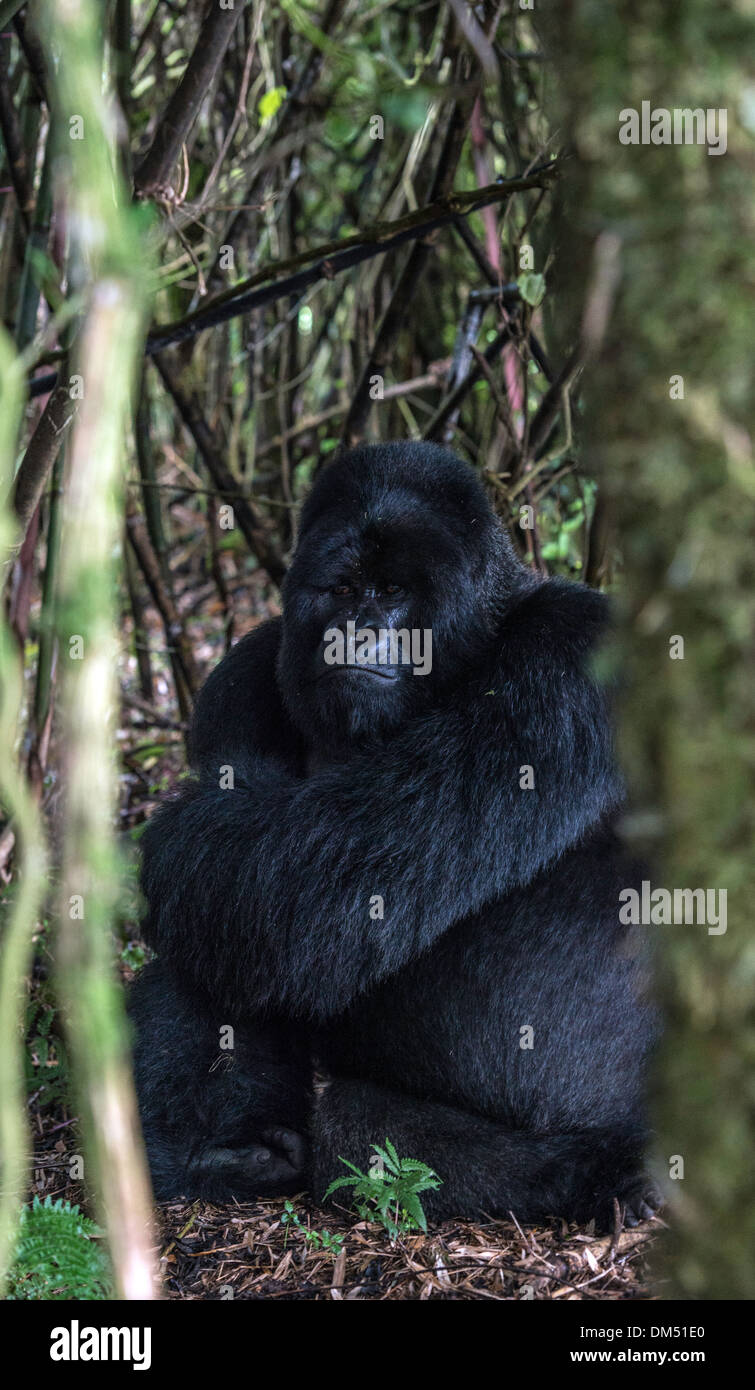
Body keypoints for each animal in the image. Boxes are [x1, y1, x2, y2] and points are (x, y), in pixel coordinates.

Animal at [131, 442, 661, 1228]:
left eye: (391, 589)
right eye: (346, 589)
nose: (358, 632)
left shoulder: (573, 649)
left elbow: (283, 886)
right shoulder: (248, 665)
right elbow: (239, 882)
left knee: (356, 1124)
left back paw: (598, 1177)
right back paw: (227, 1156)